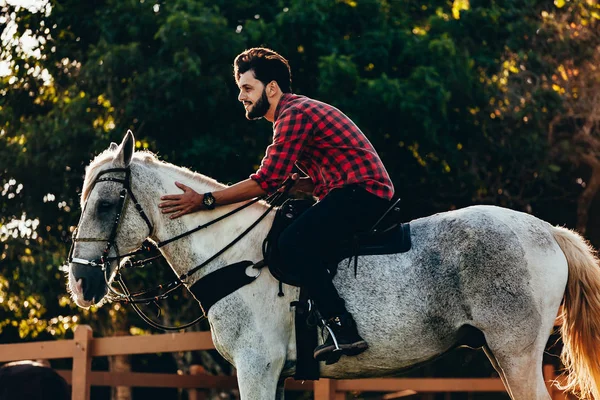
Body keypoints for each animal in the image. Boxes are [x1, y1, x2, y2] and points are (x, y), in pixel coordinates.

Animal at [68, 132, 600, 400]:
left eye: (106, 204)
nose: (81, 281)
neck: (233, 255)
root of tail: (548, 231)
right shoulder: (273, 374)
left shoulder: (256, 368)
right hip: (501, 352)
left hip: (516, 353)